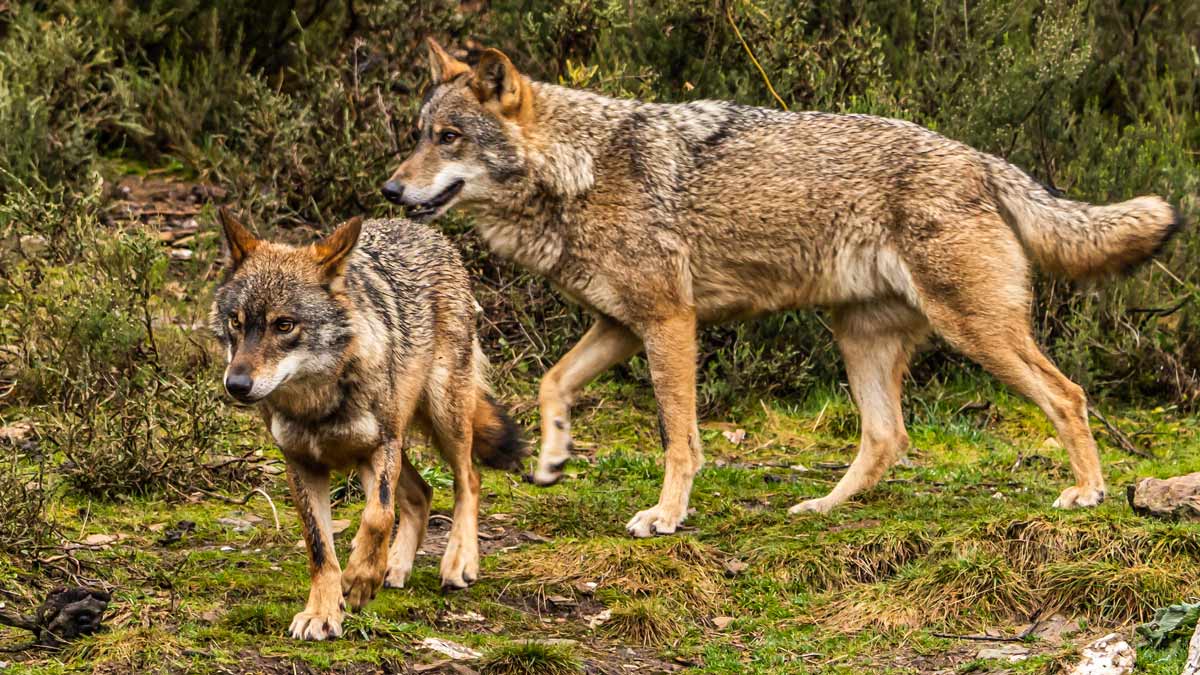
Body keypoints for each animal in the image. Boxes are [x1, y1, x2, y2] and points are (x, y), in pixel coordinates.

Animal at [210, 207, 525, 638]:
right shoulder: (301, 465)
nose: (237, 385)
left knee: (469, 479)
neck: (318, 402)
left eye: (284, 325)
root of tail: (424, 230)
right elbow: (320, 548)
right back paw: (395, 566)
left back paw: (459, 561)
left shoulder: (381, 446)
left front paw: (360, 580)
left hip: (444, 416)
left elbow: (378, 516)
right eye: (236, 323)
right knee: (423, 493)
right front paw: (322, 612)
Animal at [384, 40, 1180, 535]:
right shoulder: (621, 325)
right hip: (859, 341)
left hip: (977, 333)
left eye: (449, 138)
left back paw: (1087, 492)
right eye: (420, 132)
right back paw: (822, 507)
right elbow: (552, 382)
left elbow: (679, 438)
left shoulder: (669, 323)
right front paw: (552, 456)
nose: (389, 190)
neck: (578, 170)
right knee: (888, 437)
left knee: (1067, 395)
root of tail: (981, 159)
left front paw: (665, 516)